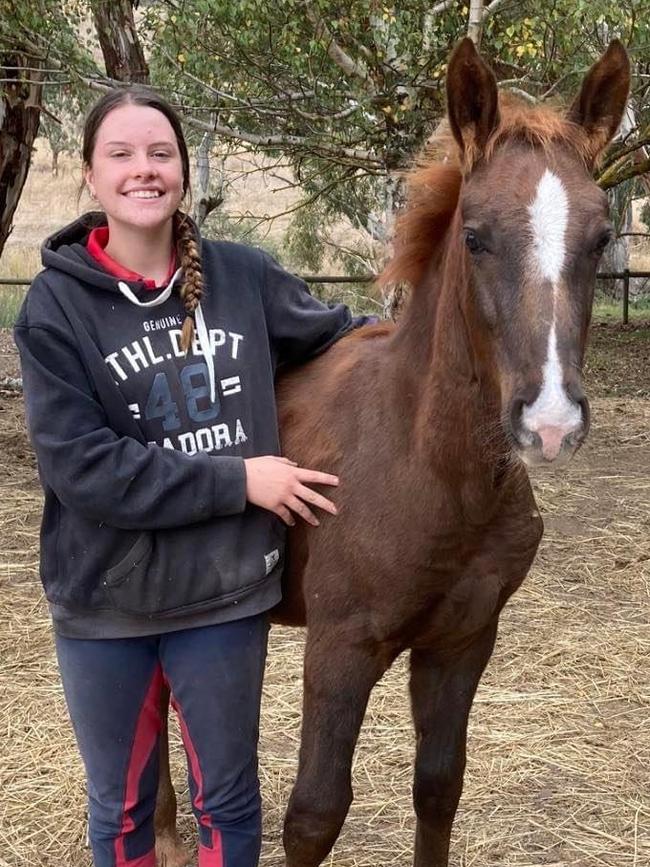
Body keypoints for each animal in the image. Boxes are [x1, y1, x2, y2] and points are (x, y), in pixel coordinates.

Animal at [153, 37, 628, 864]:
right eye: (474, 236)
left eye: (601, 238)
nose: (550, 421)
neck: (427, 467)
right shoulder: (341, 648)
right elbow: (314, 814)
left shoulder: (463, 640)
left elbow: (438, 786)